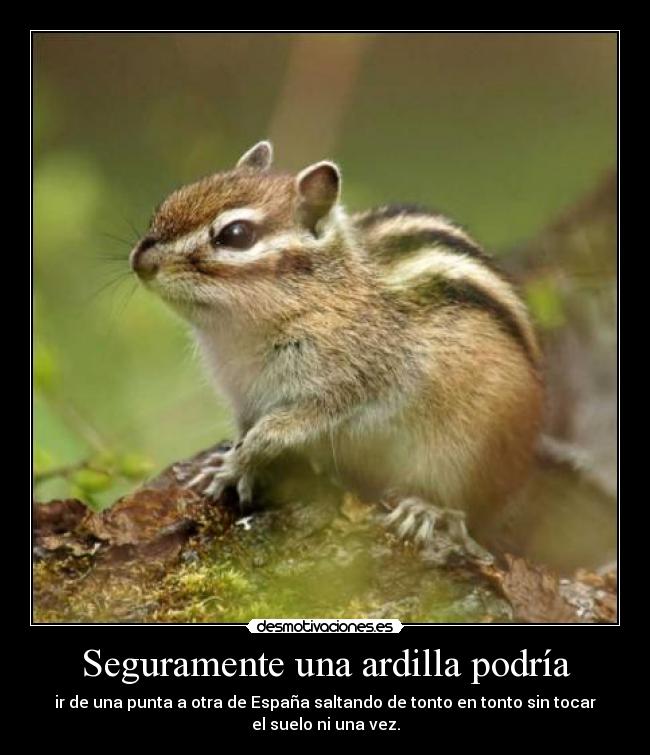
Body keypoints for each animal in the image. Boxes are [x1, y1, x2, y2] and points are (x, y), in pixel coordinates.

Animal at [130, 141, 544, 551]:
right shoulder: (244, 396)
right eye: (170, 201)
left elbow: (275, 430)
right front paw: (228, 464)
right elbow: (247, 429)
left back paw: (425, 508)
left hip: (466, 451)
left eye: (235, 234)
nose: (140, 261)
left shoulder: (350, 380)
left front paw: (237, 462)